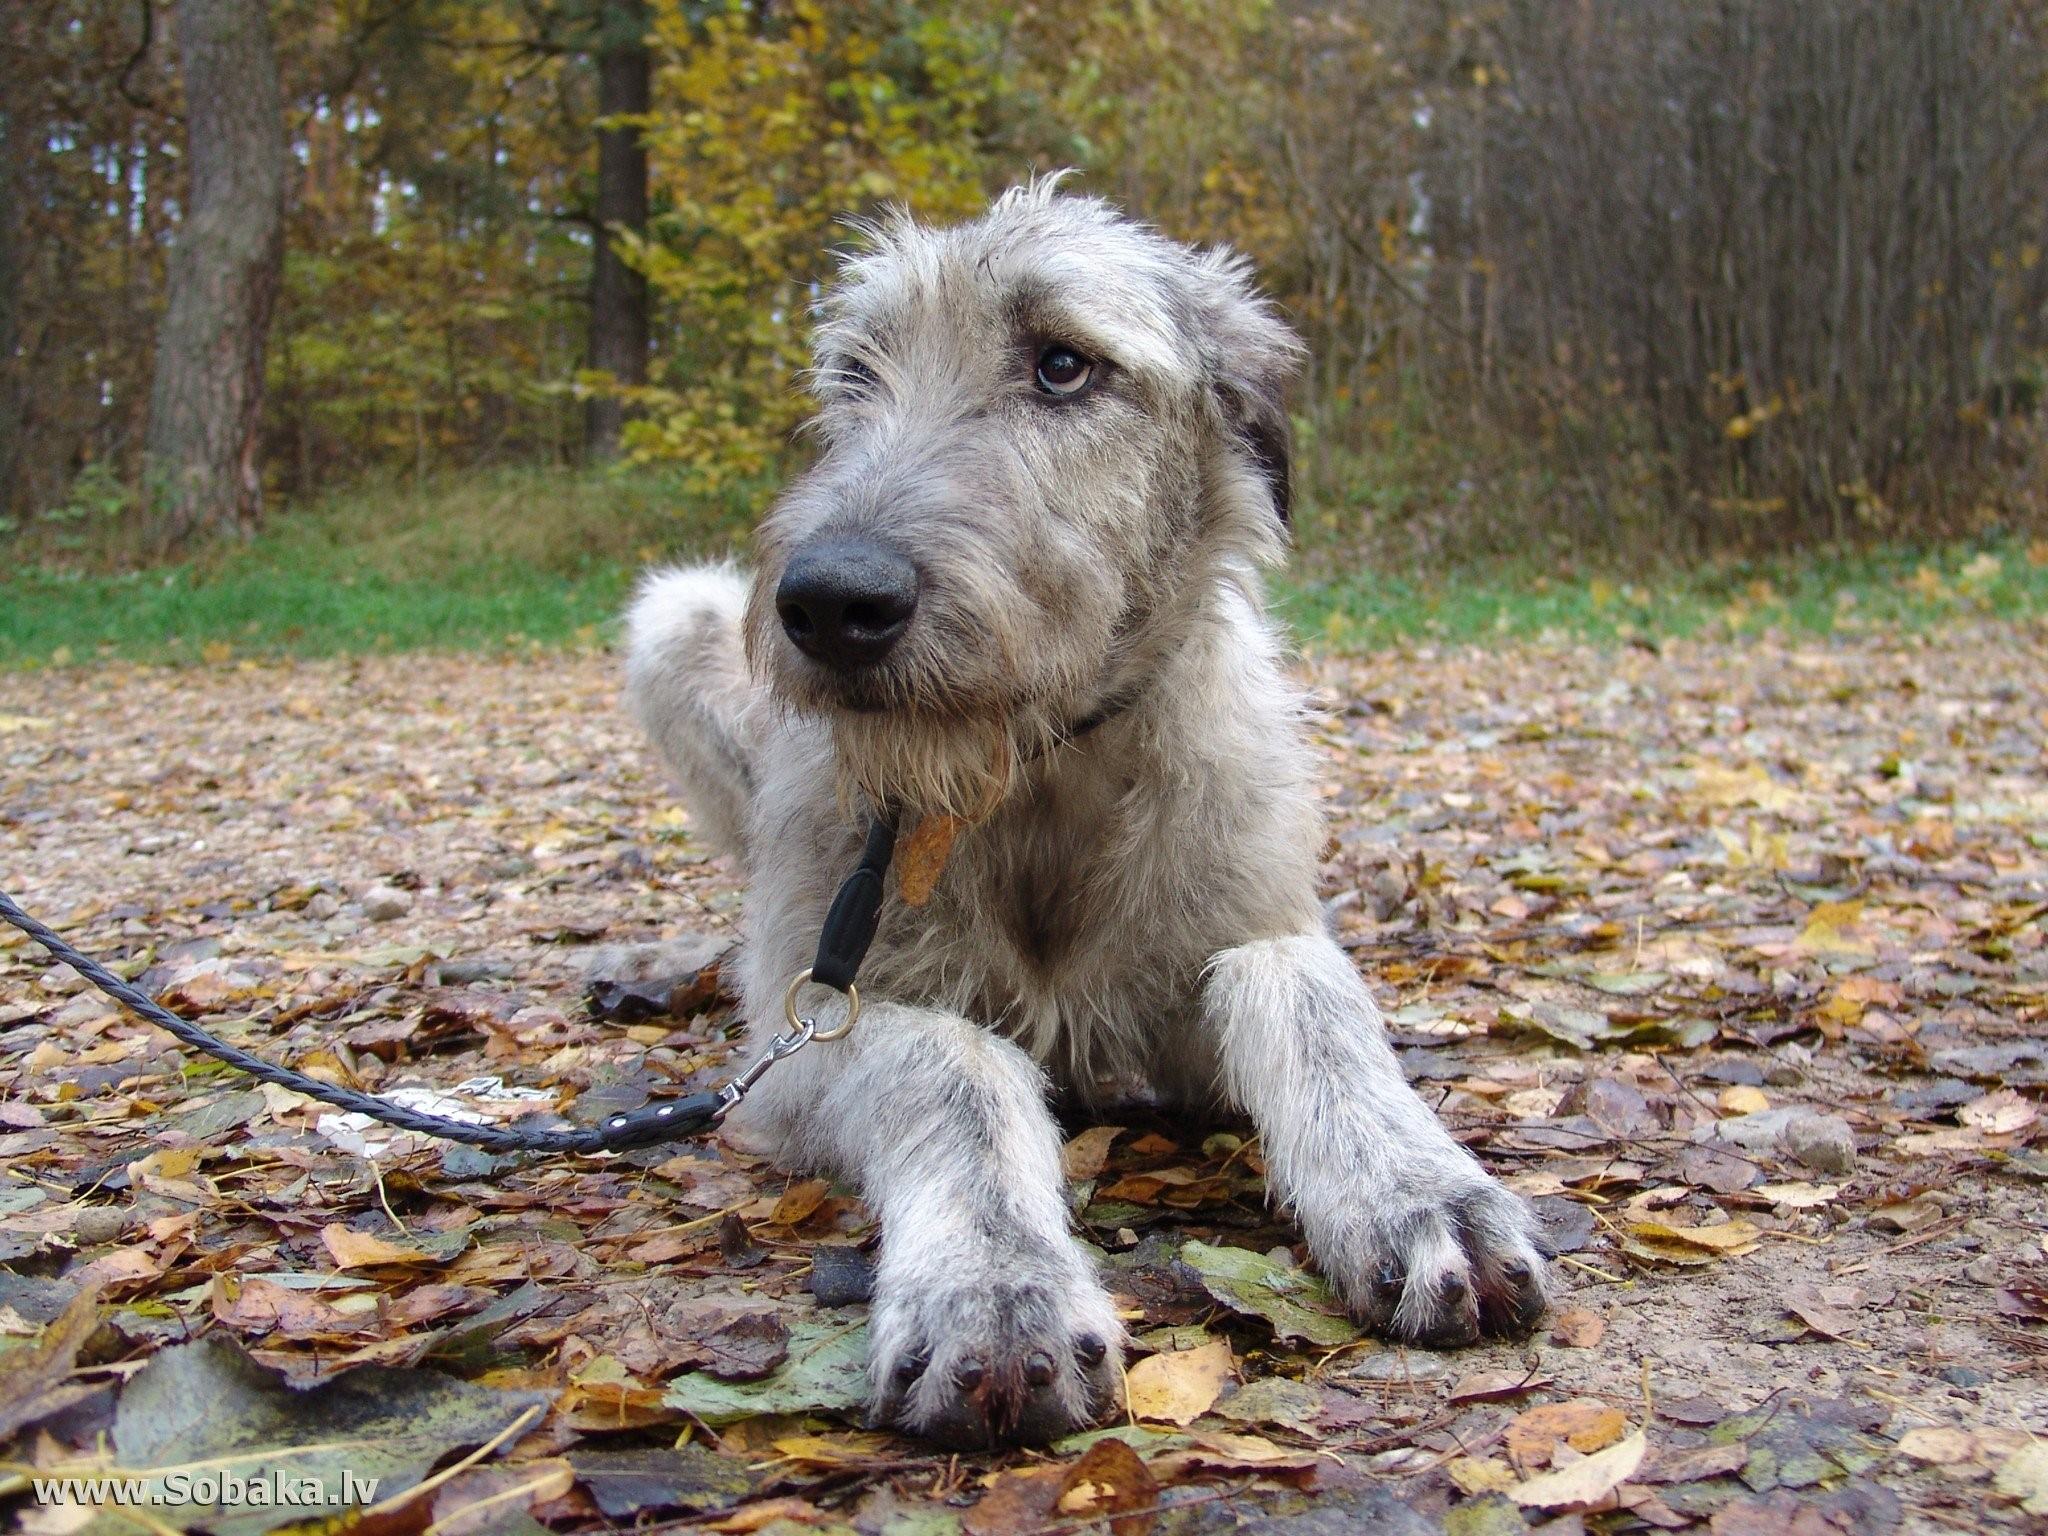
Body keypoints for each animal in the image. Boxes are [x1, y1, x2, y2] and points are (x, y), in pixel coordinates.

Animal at [622, 180, 1548, 1458]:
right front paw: (991, 1289)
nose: (829, 602)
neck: (1038, 771)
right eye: (856, 374)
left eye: (1061, 364)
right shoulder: (803, 1041)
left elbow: (1298, 990)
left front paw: (1418, 1188)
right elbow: (950, 1062)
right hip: (673, 621)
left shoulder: (1229, 938)